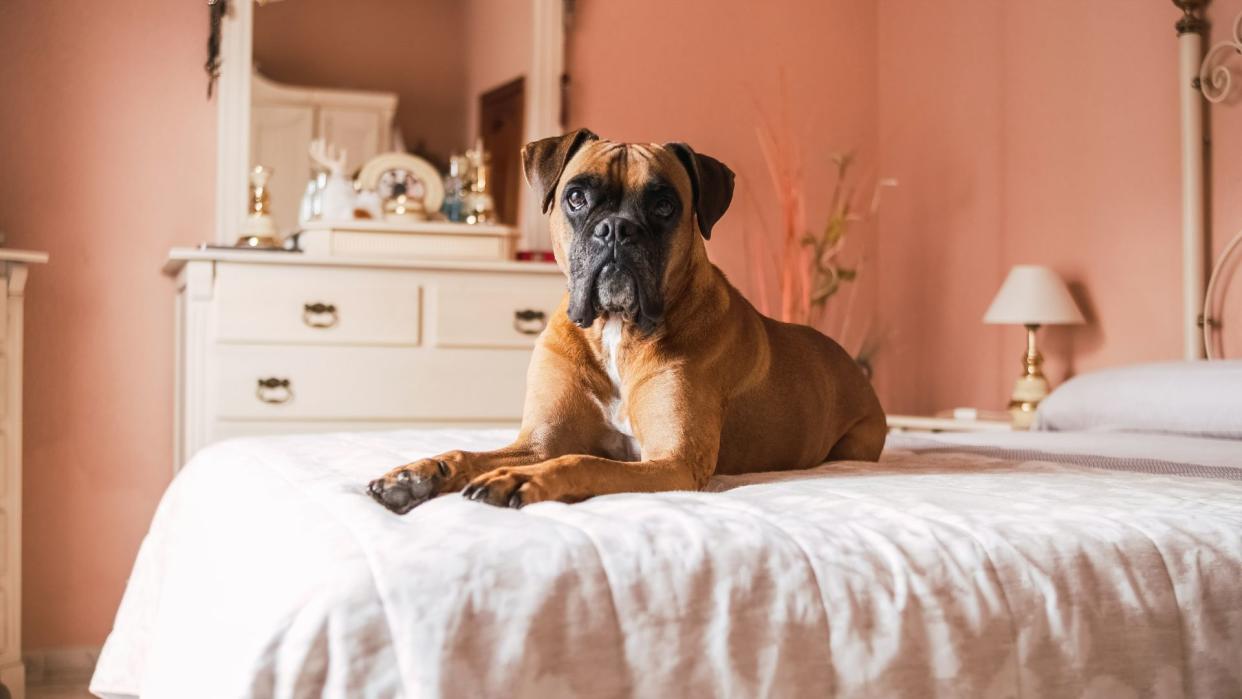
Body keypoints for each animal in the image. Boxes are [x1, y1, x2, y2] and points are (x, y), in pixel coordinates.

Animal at [365, 131, 884, 514]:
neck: (616, 330)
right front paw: (417, 474)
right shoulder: (539, 441)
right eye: (576, 197)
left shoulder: (671, 463)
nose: (616, 228)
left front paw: (519, 479)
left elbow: (581, 461)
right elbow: (469, 454)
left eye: (664, 205)